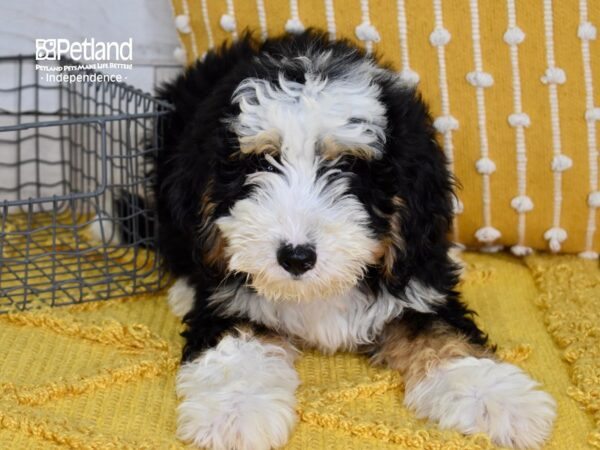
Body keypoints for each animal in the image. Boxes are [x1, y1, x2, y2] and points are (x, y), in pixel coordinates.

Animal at [156, 31, 556, 450]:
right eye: (262, 162)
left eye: (347, 166)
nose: (296, 257)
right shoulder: (230, 301)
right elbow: (235, 343)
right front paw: (235, 411)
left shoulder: (414, 290)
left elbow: (444, 336)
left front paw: (496, 396)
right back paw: (184, 290)